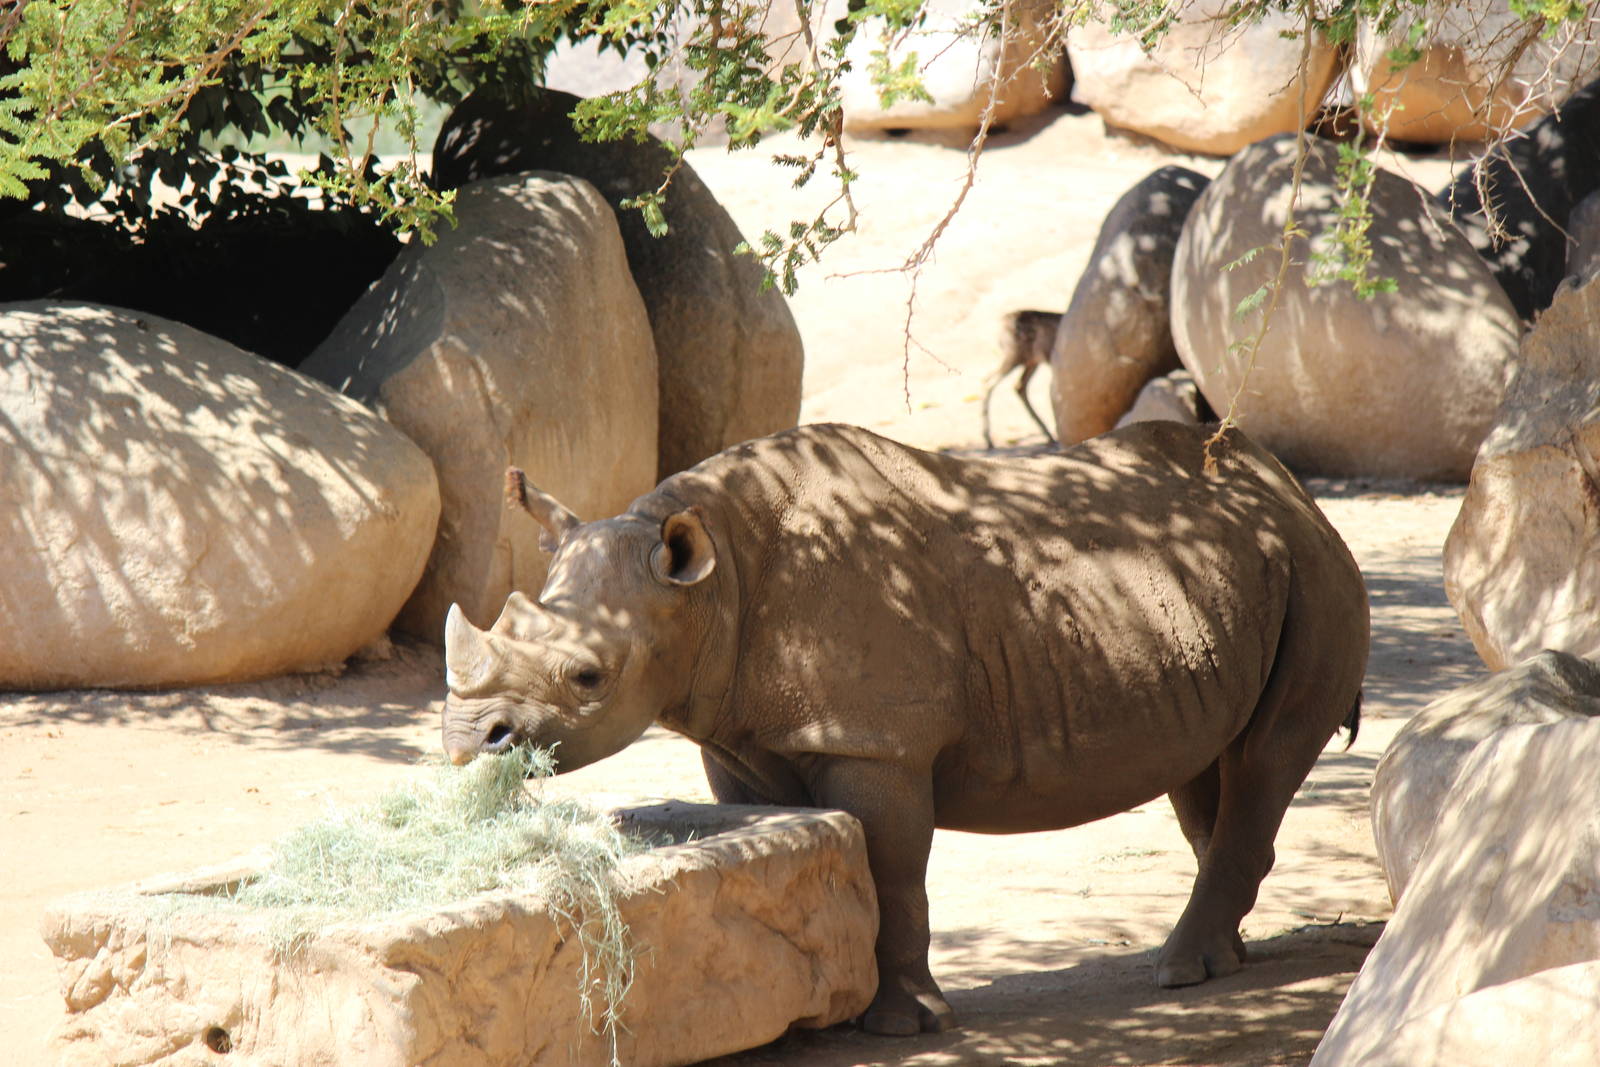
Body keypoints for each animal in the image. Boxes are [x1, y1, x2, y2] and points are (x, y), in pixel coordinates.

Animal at [442, 420, 1369, 1035]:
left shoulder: (874, 740)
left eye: (587, 677)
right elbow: (803, 846)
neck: (710, 584)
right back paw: (1221, 959)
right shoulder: (738, 733)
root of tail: (1289, 486)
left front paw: (903, 1023)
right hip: (1222, 579)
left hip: (1316, 567)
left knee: (1267, 755)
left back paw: (1178, 971)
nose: (464, 741)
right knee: (1206, 765)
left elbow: (892, 866)